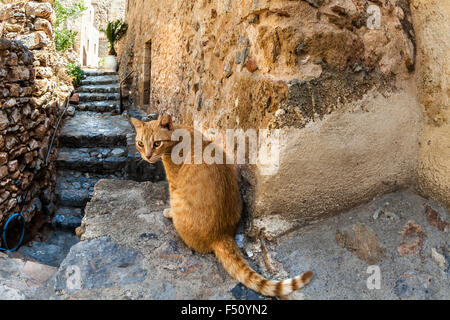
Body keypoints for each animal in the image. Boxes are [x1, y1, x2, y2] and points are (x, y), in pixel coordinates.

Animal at [130, 115, 312, 298]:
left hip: (178, 200)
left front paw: (168, 212)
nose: (147, 156)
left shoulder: (173, 184)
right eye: (140, 143)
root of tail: (222, 235)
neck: (179, 135)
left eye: (156, 143)